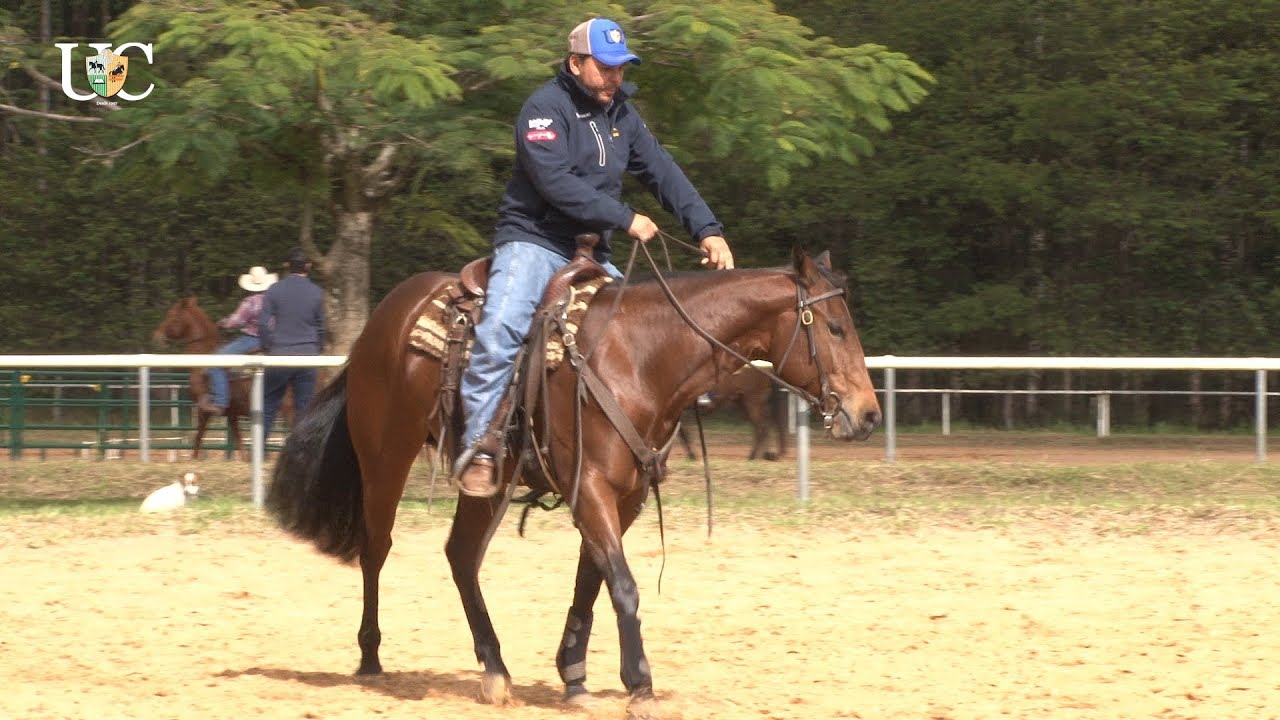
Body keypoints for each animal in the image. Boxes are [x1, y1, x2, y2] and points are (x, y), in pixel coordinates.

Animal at [151, 296, 291, 459]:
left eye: (172, 316)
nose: (157, 337)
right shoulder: (232, 413)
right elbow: (239, 442)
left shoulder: (204, 409)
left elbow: (198, 437)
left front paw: (194, 458)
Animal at [265, 249, 881, 719]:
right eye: (834, 327)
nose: (869, 414)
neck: (639, 356)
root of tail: (384, 317)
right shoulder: (590, 488)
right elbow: (624, 584)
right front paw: (640, 684)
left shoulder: (625, 497)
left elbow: (593, 578)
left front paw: (575, 675)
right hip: (385, 456)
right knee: (377, 548)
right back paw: (371, 658)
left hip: (487, 482)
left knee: (461, 555)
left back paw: (495, 669)